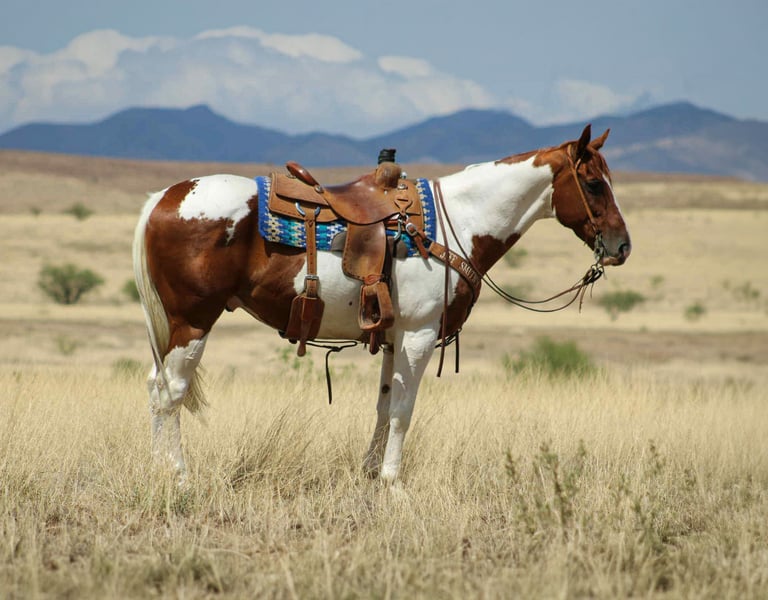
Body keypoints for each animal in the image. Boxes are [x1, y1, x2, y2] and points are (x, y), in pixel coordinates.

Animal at [132, 124, 631, 483]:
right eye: (593, 184)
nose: (622, 246)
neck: (460, 221)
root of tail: (164, 198)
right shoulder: (418, 334)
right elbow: (403, 411)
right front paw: (393, 483)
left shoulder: (392, 336)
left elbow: (383, 403)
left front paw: (370, 474)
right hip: (193, 321)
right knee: (170, 393)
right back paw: (177, 477)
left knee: (156, 387)